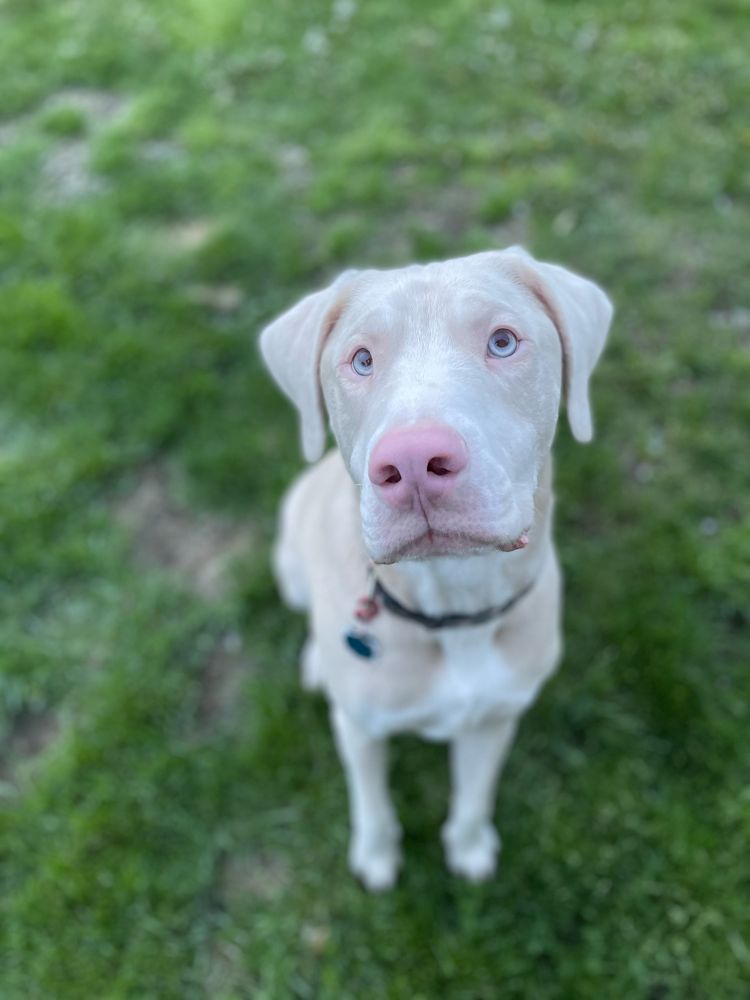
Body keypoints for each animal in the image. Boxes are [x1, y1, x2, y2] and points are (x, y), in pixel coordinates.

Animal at [260, 247, 612, 890]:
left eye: (503, 341)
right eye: (362, 360)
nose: (412, 461)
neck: (455, 604)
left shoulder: (493, 719)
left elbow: (473, 797)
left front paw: (469, 850)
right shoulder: (361, 728)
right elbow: (371, 803)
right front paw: (376, 859)